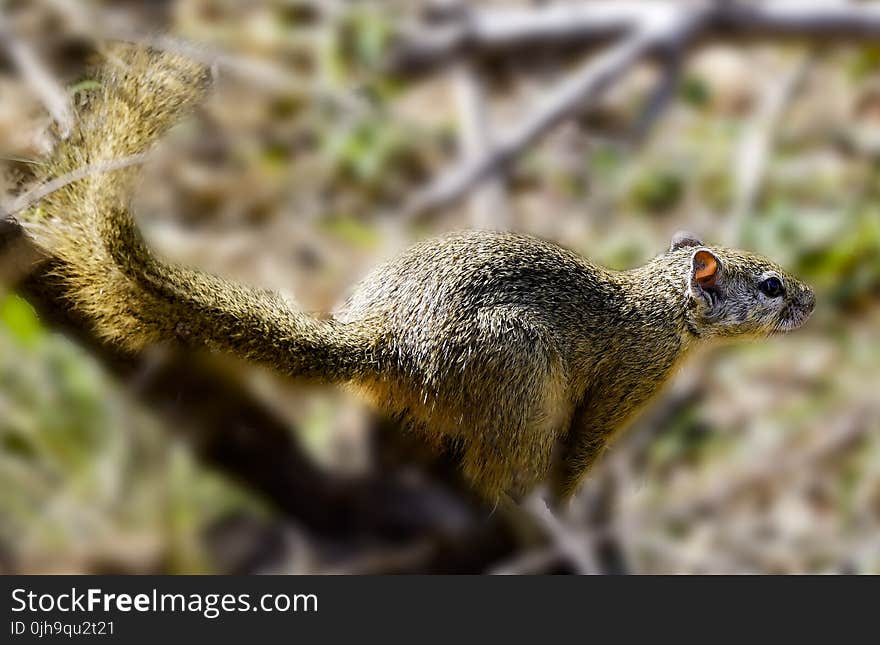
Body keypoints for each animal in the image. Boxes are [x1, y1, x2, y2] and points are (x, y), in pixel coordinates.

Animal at [15, 49, 820, 504]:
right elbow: (584, 451)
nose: (813, 299)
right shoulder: (630, 377)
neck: (659, 304)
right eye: (770, 285)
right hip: (521, 381)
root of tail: (385, 340)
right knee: (498, 472)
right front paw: (573, 501)